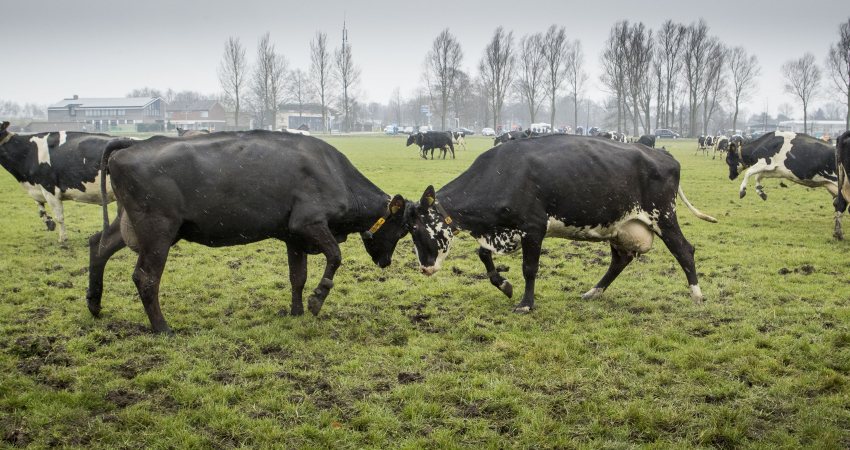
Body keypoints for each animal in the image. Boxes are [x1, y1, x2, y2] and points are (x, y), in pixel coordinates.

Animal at [91, 130, 410, 334]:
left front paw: (296, 312)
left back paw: (94, 304)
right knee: (145, 277)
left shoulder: (294, 236)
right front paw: (317, 300)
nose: (386, 262)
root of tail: (132, 144)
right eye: (403, 229)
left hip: (133, 225)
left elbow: (298, 277)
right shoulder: (309, 223)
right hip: (157, 230)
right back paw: (162, 328)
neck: (334, 174)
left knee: (99, 245)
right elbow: (335, 256)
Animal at [398, 134, 716, 312]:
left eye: (416, 229)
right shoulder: (503, 231)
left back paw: (697, 296)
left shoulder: (533, 227)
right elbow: (483, 255)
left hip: (663, 215)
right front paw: (504, 285)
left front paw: (526, 303)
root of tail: (663, 154)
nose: (425, 267)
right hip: (620, 227)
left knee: (684, 250)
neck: (504, 172)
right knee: (620, 260)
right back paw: (593, 292)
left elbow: (529, 268)